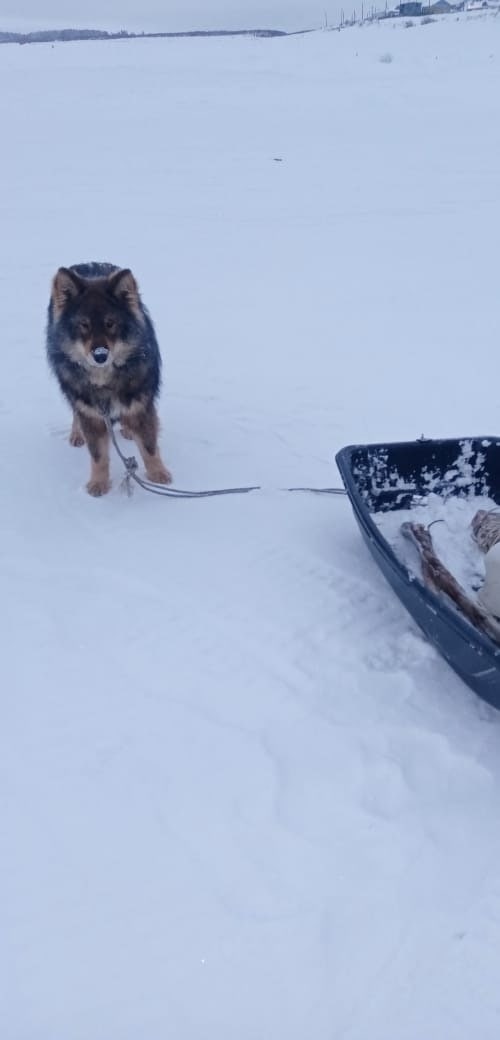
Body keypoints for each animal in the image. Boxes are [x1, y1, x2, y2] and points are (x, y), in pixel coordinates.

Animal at [46, 266, 171, 497]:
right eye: (84, 325)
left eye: (110, 324)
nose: (100, 355)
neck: (104, 379)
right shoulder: (91, 413)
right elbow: (98, 456)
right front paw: (98, 483)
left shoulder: (141, 405)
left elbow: (149, 446)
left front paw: (158, 474)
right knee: (75, 412)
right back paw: (76, 434)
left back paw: (128, 430)